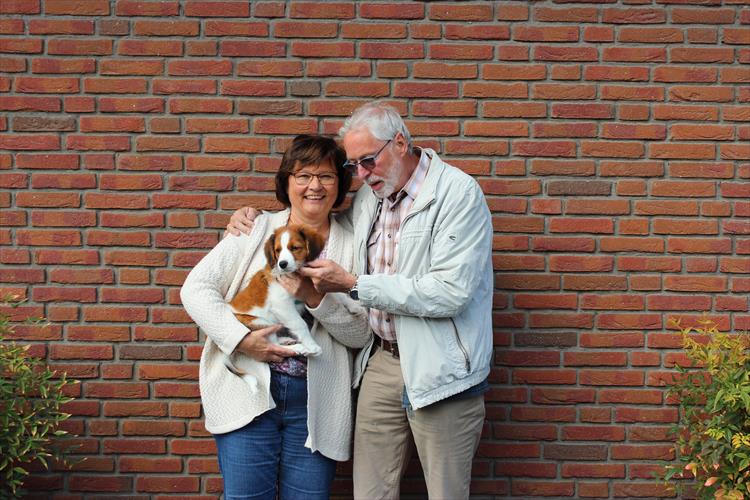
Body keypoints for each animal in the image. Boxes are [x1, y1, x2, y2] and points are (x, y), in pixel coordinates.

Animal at [224, 224, 325, 392]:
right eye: (278, 250)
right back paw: (300, 347)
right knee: (273, 344)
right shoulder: (282, 305)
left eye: (295, 248)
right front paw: (311, 345)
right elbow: (300, 324)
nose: (282, 264)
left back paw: (287, 340)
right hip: (261, 322)